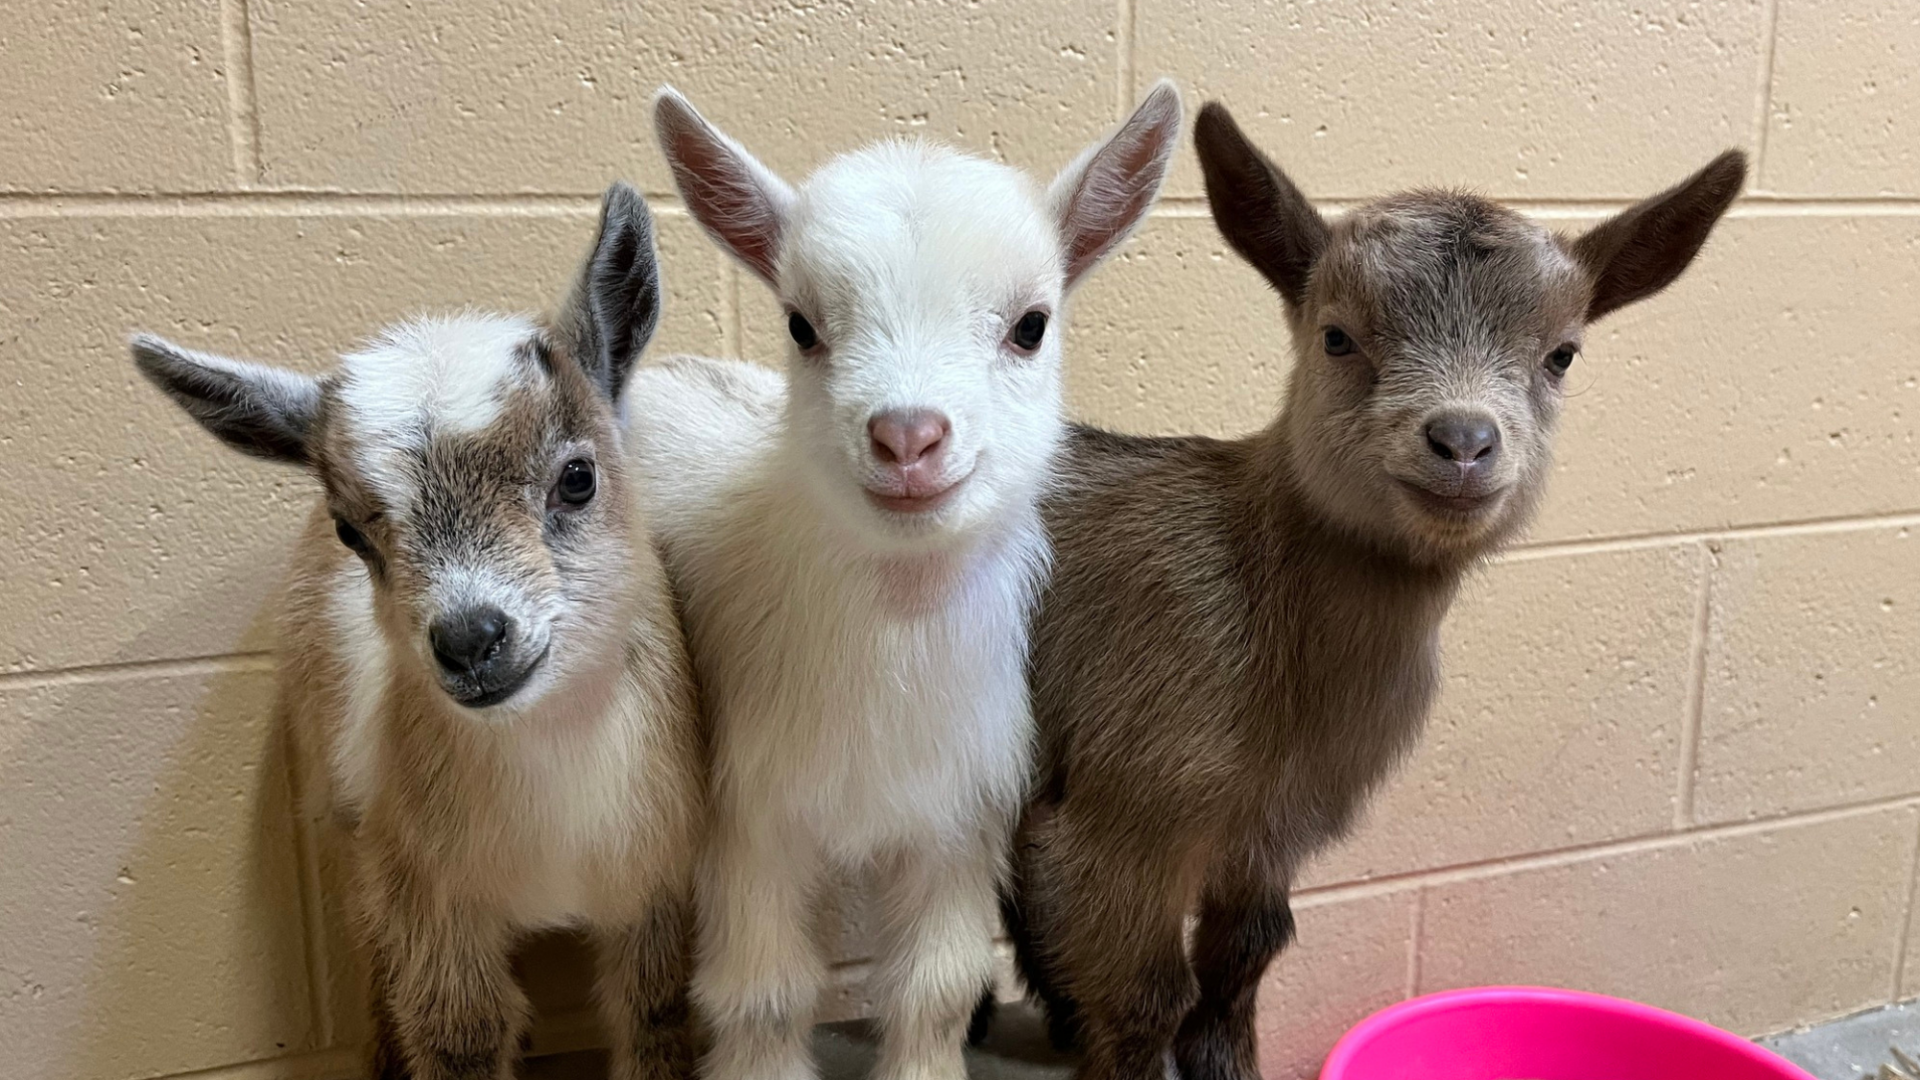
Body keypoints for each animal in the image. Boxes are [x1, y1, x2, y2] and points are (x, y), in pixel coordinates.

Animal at [131, 183, 705, 1080]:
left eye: (578, 477)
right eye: (352, 531)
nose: (470, 640)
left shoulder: (658, 892)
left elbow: (656, 1020)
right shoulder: (429, 911)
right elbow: (457, 1037)